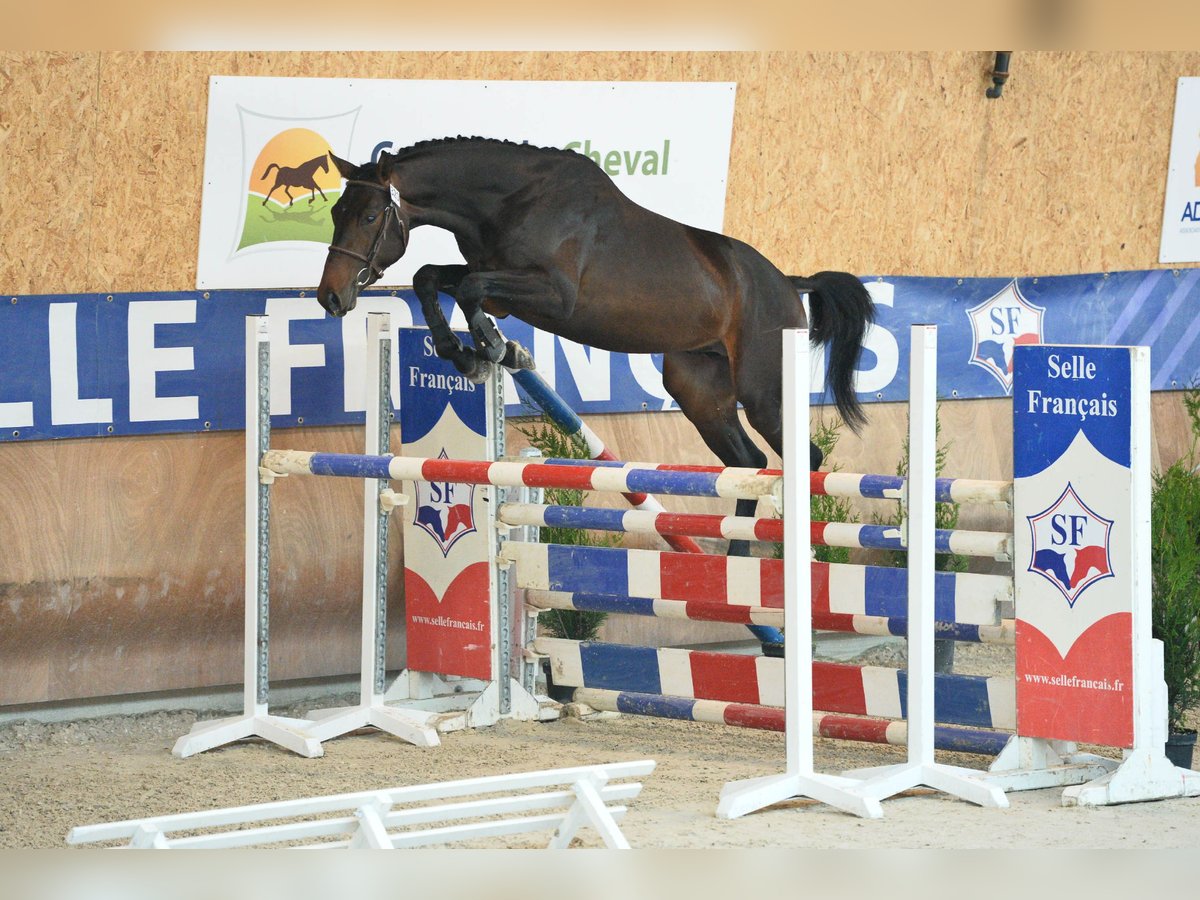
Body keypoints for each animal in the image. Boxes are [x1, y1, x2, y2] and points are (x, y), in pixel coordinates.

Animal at [316, 137, 873, 549]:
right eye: (336, 213)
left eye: (369, 217)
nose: (330, 297)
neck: (509, 201)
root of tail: (790, 284)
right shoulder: (497, 284)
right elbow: (431, 277)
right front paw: (467, 353)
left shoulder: (553, 295)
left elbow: (467, 288)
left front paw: (489, 350)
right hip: (699, 390)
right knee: (747, 463)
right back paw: (736, 568)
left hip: (763, 392)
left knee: (804, 459)